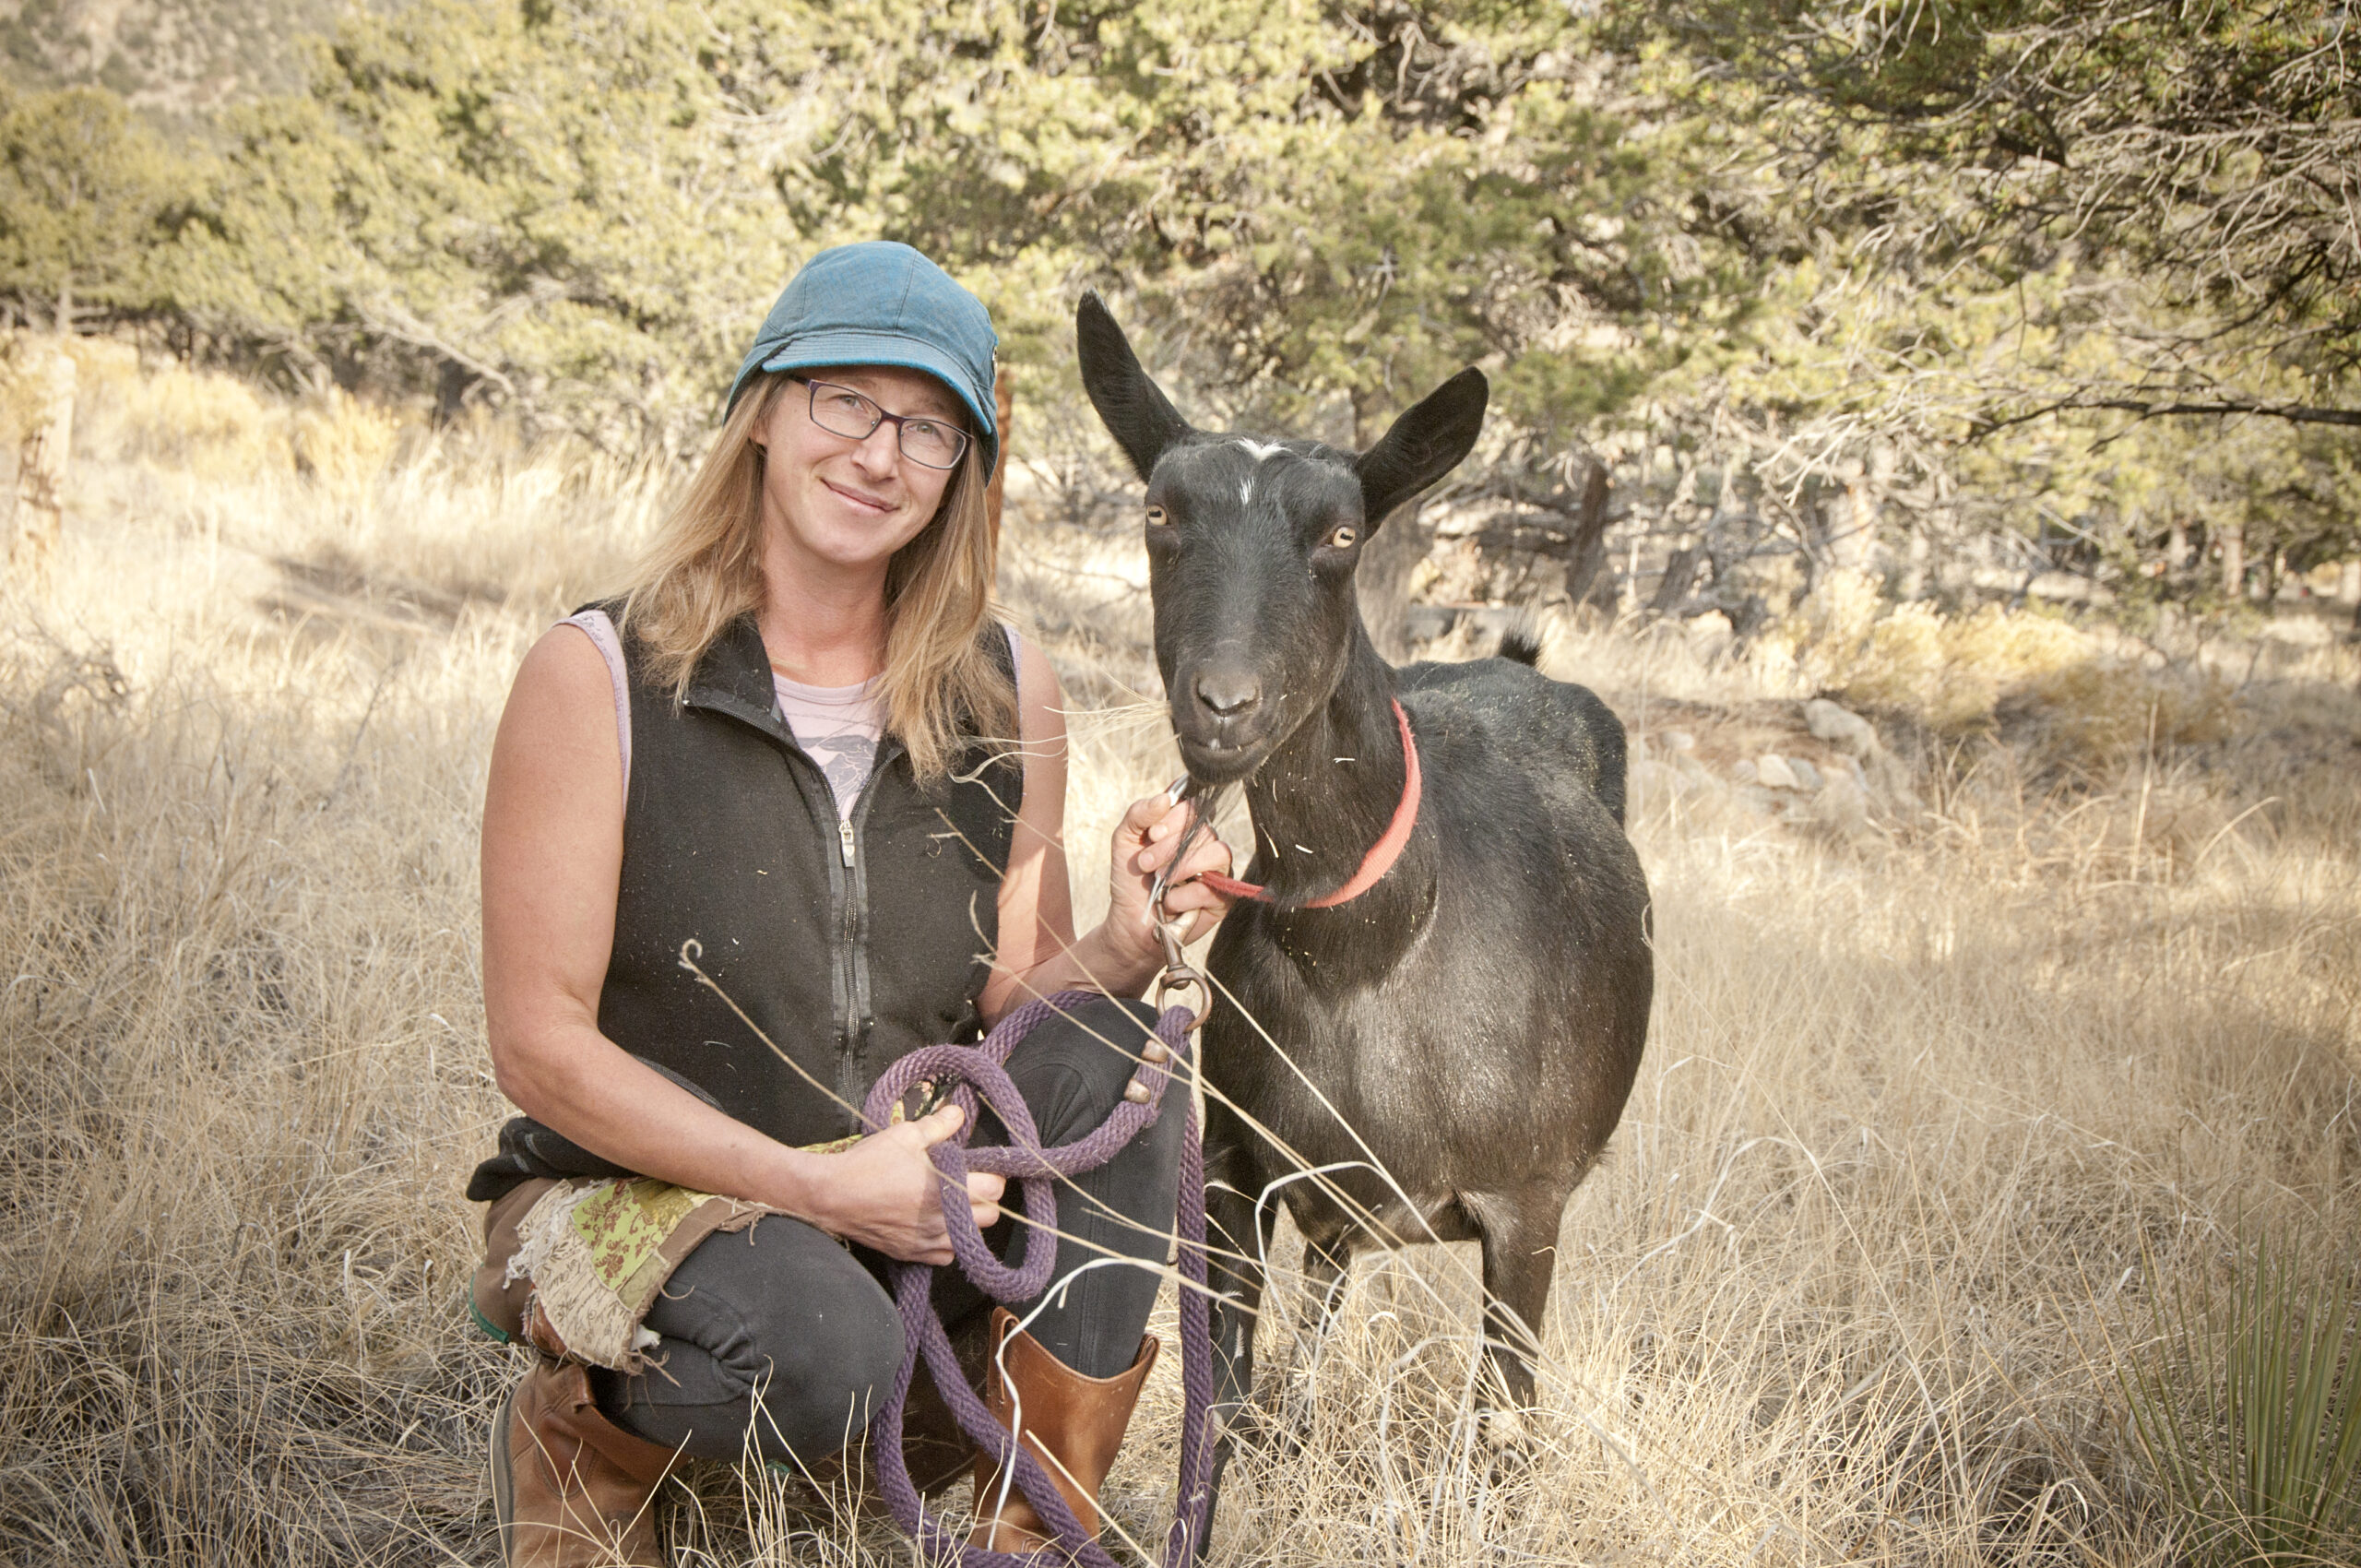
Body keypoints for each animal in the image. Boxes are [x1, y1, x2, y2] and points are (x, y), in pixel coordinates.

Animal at [1075, 294, 1654, 1490]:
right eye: (1159, 510)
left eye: (1342, 536)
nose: (1224, 704)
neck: (1374, 948)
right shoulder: (1237, 1164)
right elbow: (1225, 1397)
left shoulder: (1526, 1207)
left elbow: (1503, 1433)